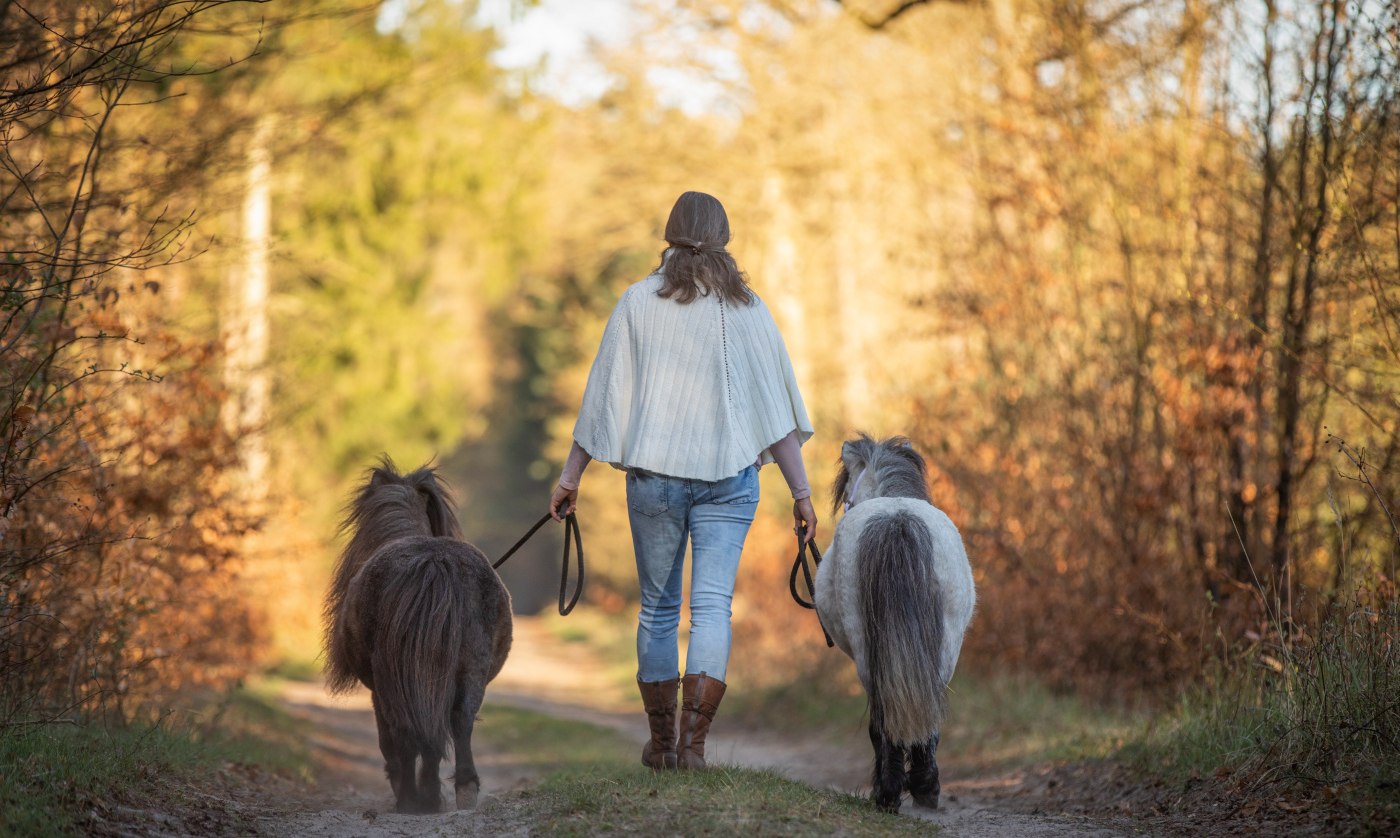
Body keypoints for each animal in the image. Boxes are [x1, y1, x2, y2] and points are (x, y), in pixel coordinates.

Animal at [323, 458, 515, 811]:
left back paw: (412, 799)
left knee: (404, 731)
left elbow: (391, 741)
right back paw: (462, 790)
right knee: (460, 720)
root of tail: (433, 561)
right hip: (470, 670)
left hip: (390, 681)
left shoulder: (378, 689)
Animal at [817, 439, 980, 811]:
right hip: (945, 647)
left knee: (883, 718)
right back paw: (920, 787)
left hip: (867, 652)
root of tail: (897, 520)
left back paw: (891, 792)